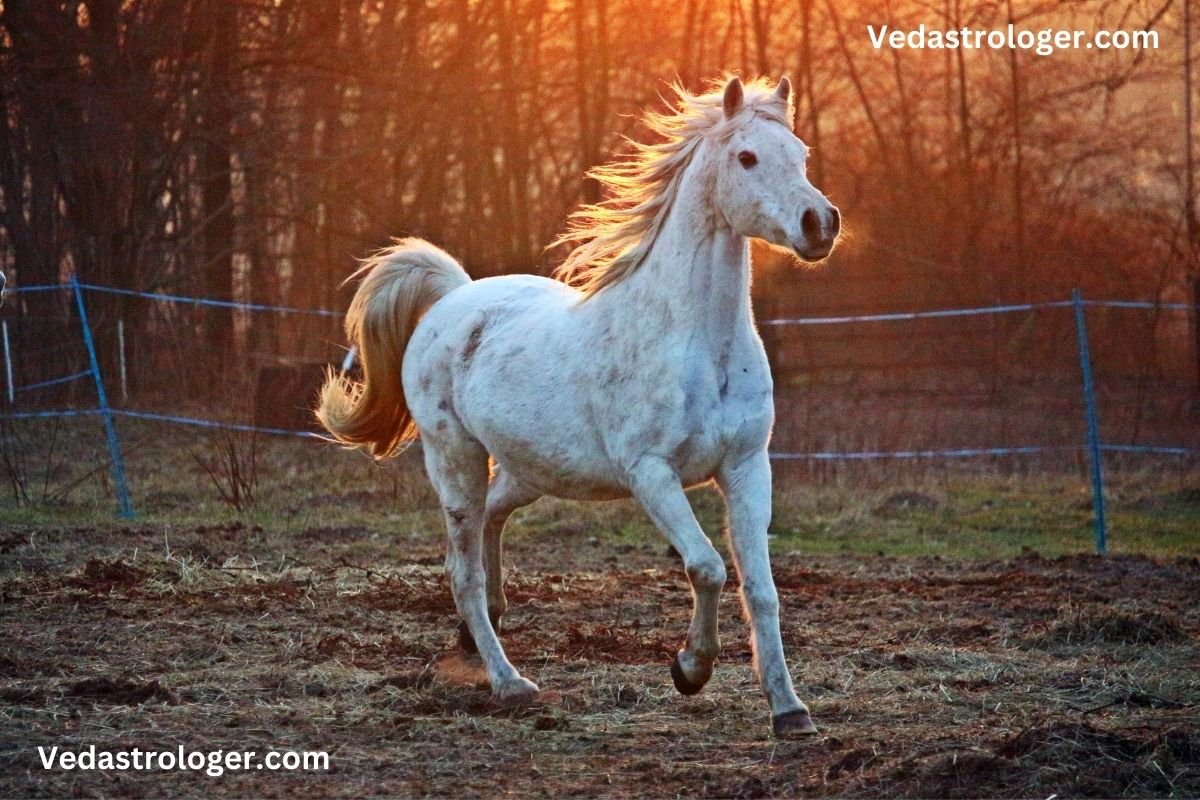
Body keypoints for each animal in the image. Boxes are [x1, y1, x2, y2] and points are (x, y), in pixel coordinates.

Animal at [317, 76, 840, 737]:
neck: (697, 342)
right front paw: (689, 670)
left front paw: (790, 711)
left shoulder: (747, 467)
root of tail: (454, 298)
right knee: (463, 569)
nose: (819, 223)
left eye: (800, 153)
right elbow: (708, 567)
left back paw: (480, 630)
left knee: (491, 522)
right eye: (746, 157)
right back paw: (510, 682)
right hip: (455, 460)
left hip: (531, 469)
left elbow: (762, 590)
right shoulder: (652, 474)